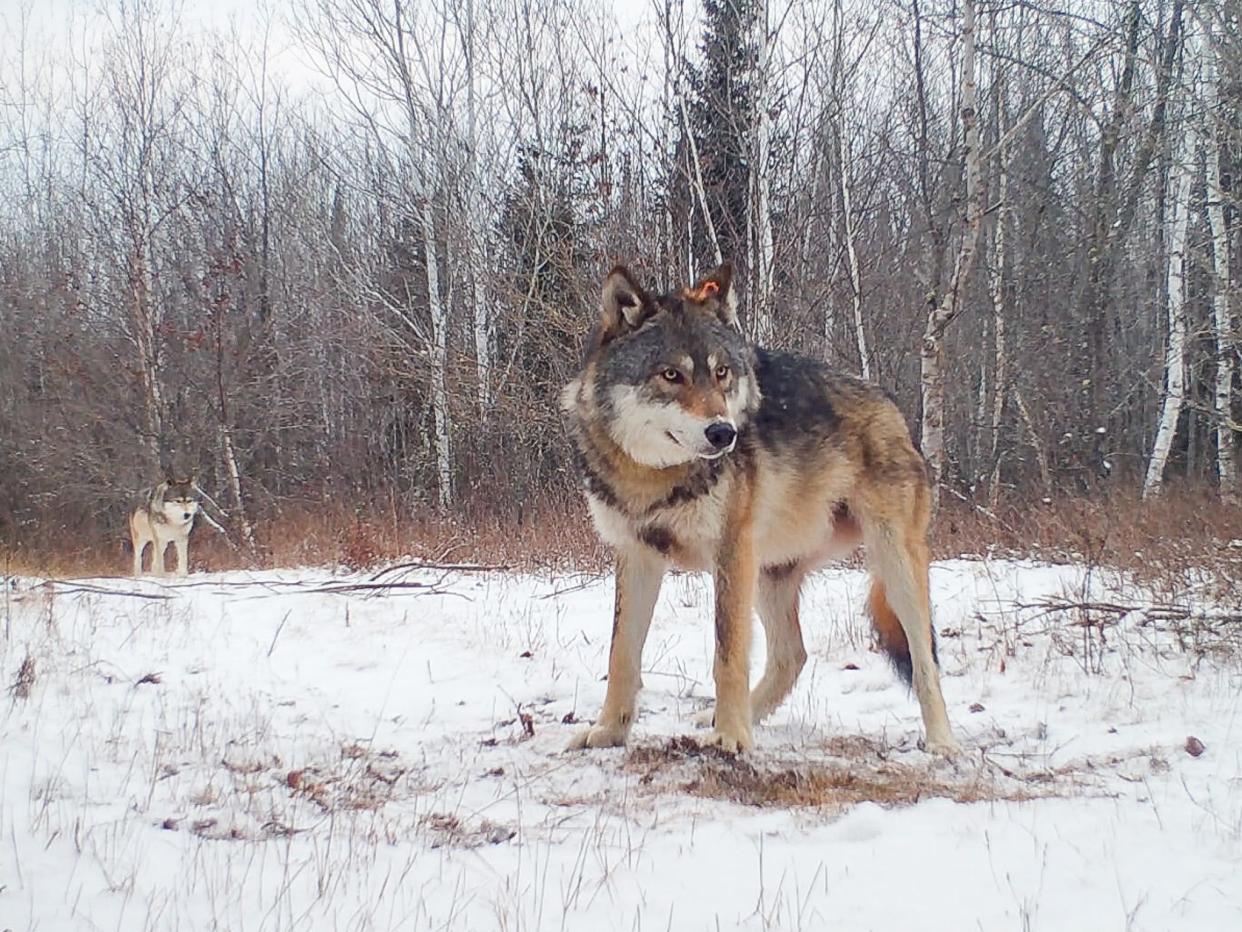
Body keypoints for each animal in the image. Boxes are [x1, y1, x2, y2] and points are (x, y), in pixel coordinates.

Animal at [563, 264, 958, 760]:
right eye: (671, 374)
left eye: (721, 373)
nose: (723, 433)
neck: (653, 478)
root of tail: (891, 404)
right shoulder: (637, 557)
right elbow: (621, 655)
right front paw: (607, 734)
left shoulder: (730, 552)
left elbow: (728, 653)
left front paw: (731, 738)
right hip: (770, 573)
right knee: (794, 654)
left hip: (892, 565)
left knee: (924, 658)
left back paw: (942, 742)